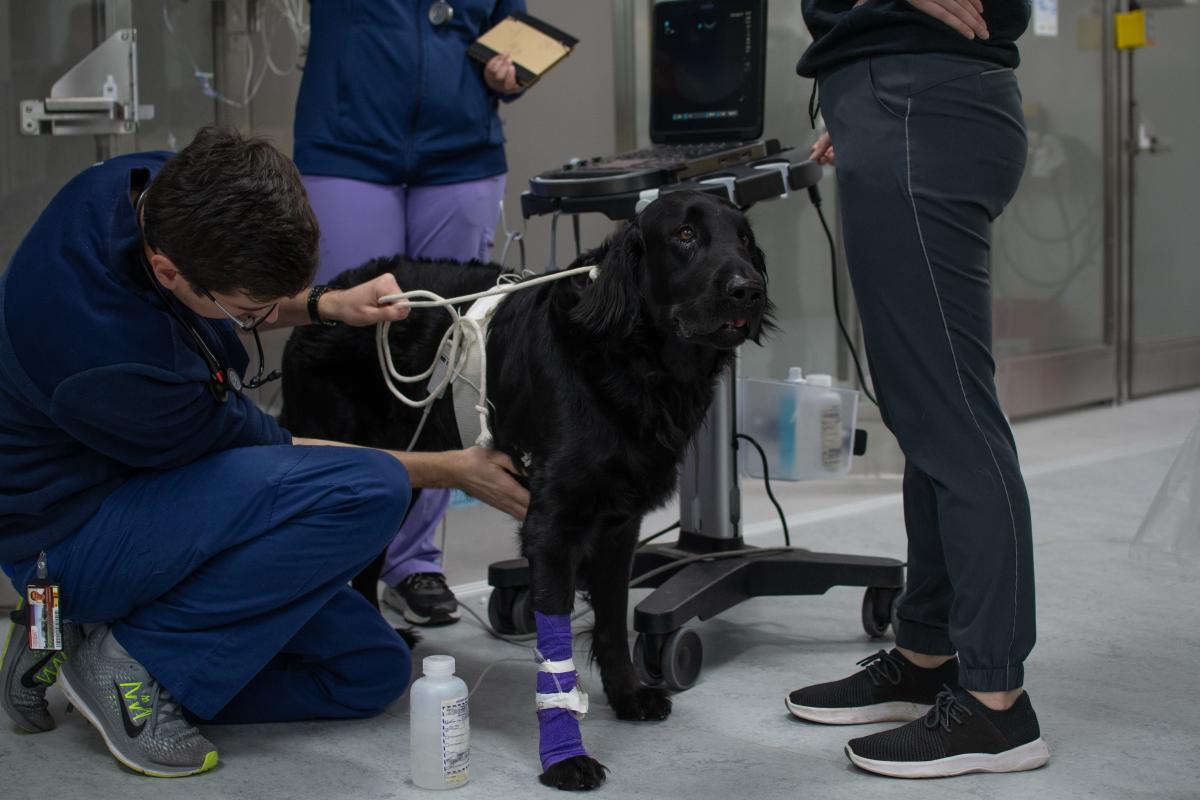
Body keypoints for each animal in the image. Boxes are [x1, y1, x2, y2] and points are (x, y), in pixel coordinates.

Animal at [277, 190, 772, 791]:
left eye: (744, 239)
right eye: (684, 236)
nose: (749, 288)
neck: (627, 361)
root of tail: (325, 299)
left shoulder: (620, 524)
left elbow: (612, 620)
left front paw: (628, 695)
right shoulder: (551, 527)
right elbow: (555, 660)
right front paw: (564, 758)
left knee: (369, 566)